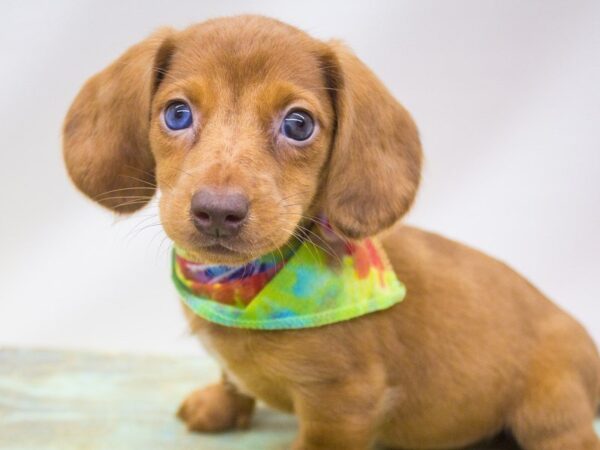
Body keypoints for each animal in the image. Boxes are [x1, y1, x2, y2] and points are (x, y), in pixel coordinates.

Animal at [62, 14, 600, 450]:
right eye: (177, 114)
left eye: (298, 124)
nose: (217, 212)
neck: (241, 287)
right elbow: (231, 378)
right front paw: (221, 404)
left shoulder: (342, 402)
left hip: (550, 412)